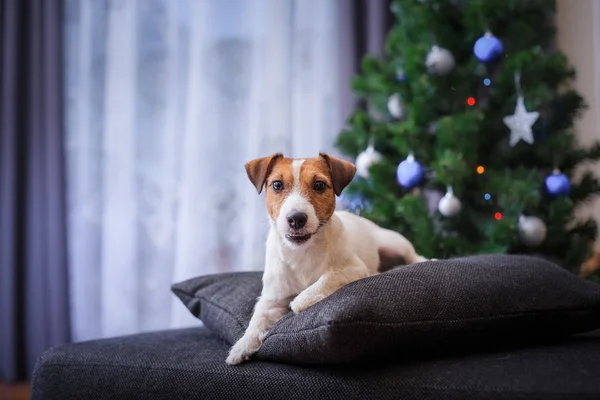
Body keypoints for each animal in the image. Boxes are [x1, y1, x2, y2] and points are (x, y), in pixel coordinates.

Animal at [225, 152, 426, 364]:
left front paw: (302, 299)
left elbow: (328, 277)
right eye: (277, 185)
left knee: (414, 255)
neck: (302, 251)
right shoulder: (272, 297)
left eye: (319, 185)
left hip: (393, 242)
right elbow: (258, 318)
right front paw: (242, 345)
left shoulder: (355, 268)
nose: (296, 218)